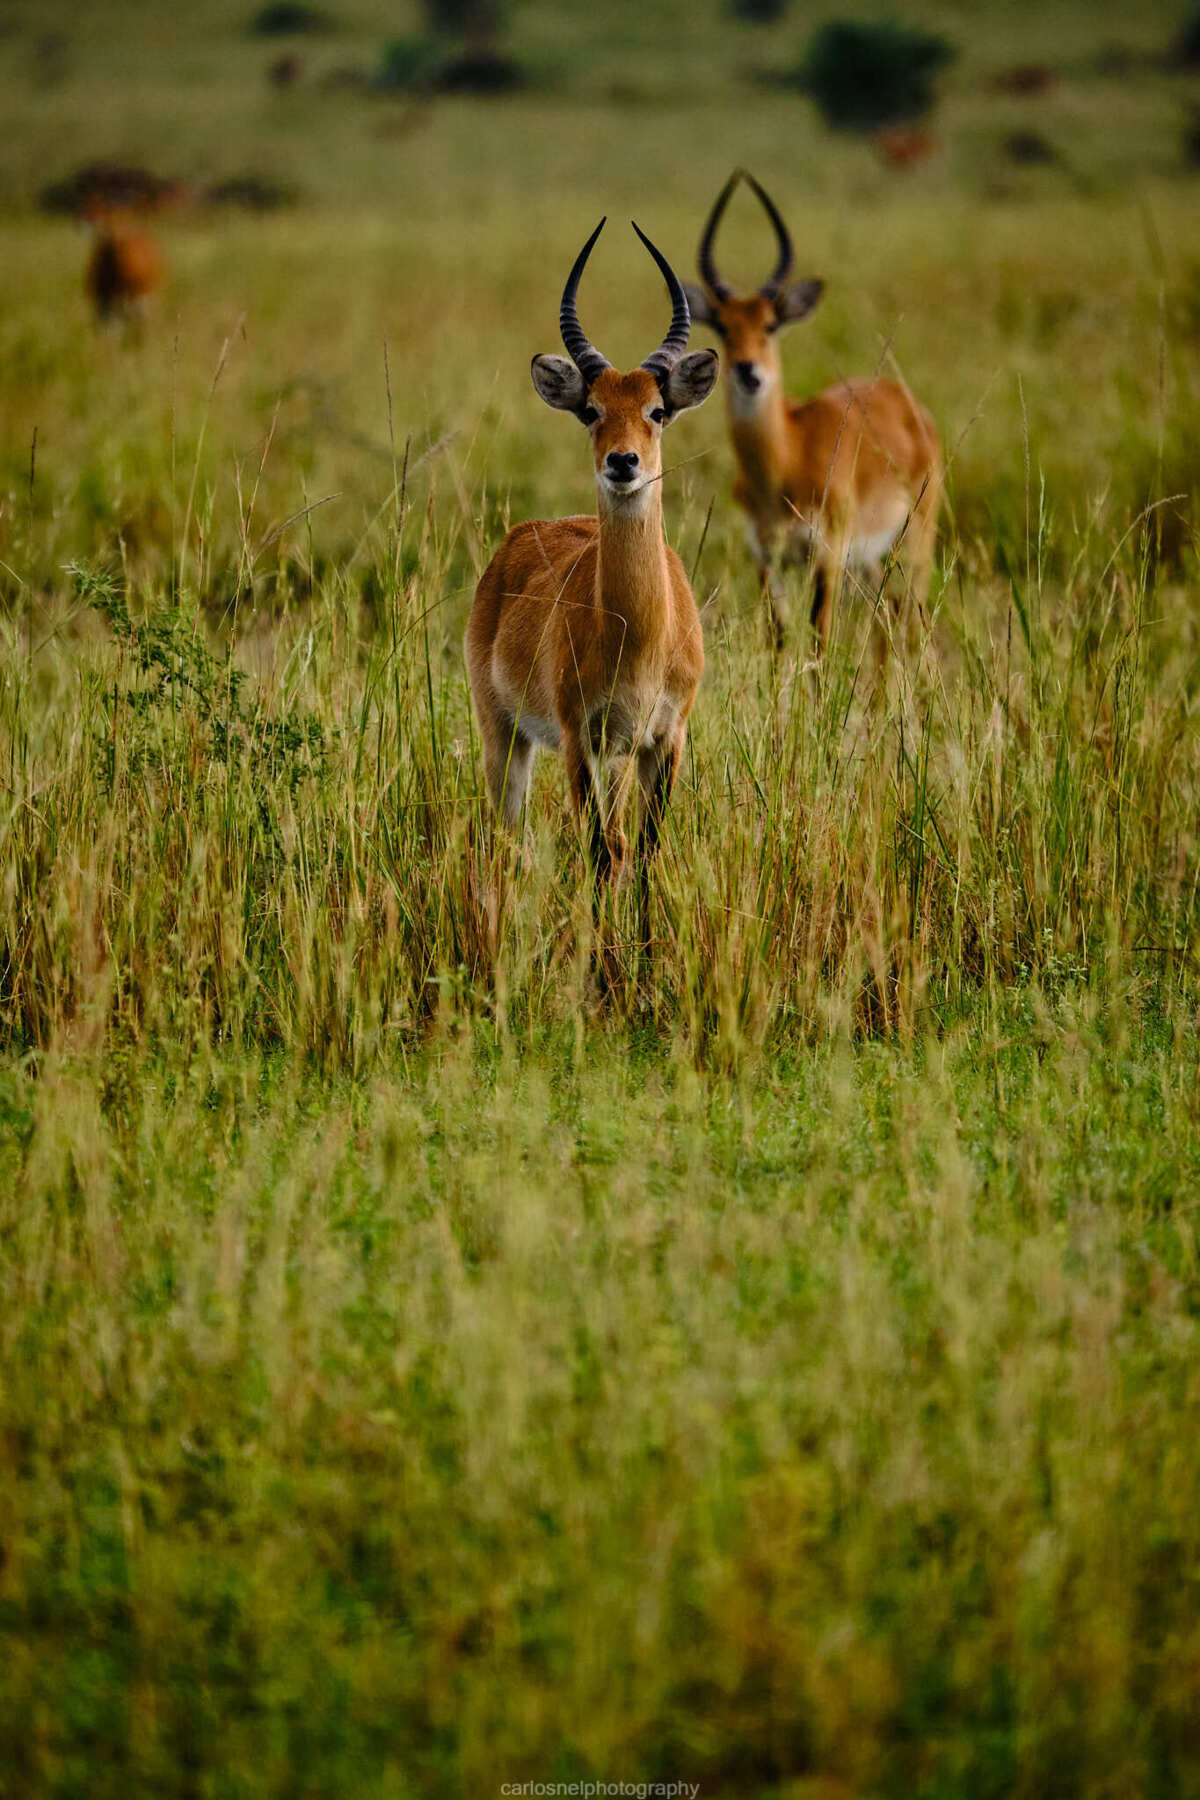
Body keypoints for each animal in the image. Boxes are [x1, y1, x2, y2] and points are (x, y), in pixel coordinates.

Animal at [464, 214, 719, 914]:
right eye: (591, 410)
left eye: (657, 410)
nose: (623, 462)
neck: (639, 634)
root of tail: (517, 540)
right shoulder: (581, 735)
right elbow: (604, 852)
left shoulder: (663, 738)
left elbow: (645, 850)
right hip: (506, 735)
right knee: (507, 832)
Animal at [680, 167, 942, 662]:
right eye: (723, 327)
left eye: (769, 324)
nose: (748, 371)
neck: (786, 460)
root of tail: (907, 404)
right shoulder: (767, 559)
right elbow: (779, 639)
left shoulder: (828, 555)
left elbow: (820, 637)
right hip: (871, 561)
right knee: (886, 620)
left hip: (914, 542)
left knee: (912, 621)